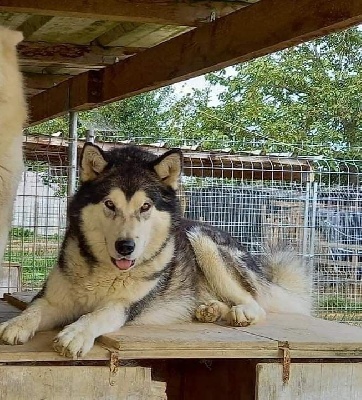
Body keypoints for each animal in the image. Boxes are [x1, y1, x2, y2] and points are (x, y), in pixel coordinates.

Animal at [0, 144, 312, 360]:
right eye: (110, 204)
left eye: (145, 206)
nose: (125, 247)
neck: (105, 272)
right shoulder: (54, 300)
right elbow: (34, 309)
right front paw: (16, 323)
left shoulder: (124, 306)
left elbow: (97, 314)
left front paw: (77, 332)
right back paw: (210, 309)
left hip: (202, 240)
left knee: (254, 301)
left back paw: (241, 312)